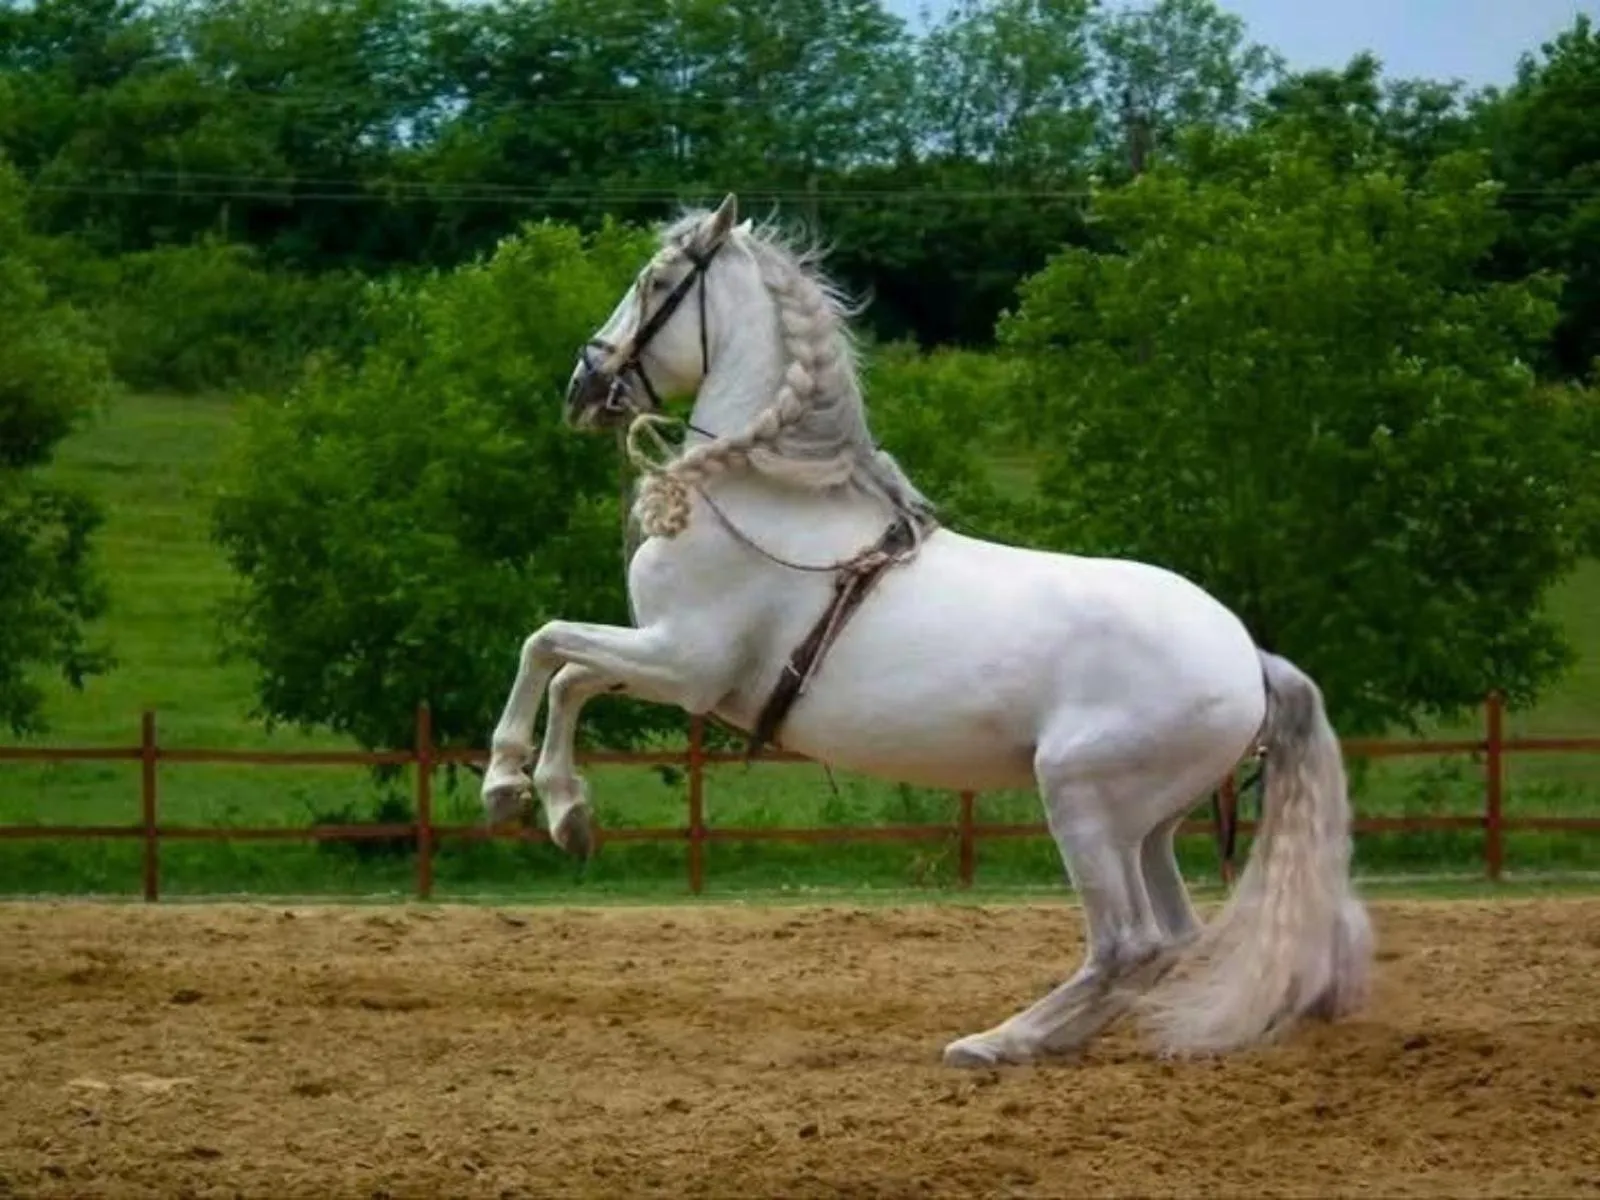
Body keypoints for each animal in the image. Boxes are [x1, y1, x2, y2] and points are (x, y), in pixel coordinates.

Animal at [481, 193, 1374, 1066]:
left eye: (655, 281)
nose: (583, 384)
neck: (759, 494)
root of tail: (1247, 656)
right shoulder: (674, 670)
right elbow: (568, 673)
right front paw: (562, 812)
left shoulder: (685, 666)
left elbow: (547, 647)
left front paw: (512, 789)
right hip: (1146, 823)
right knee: (1171, 937)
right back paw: (1049, 1039)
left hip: (1082, 798)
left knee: (1128, 942)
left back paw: (1001, 1041)